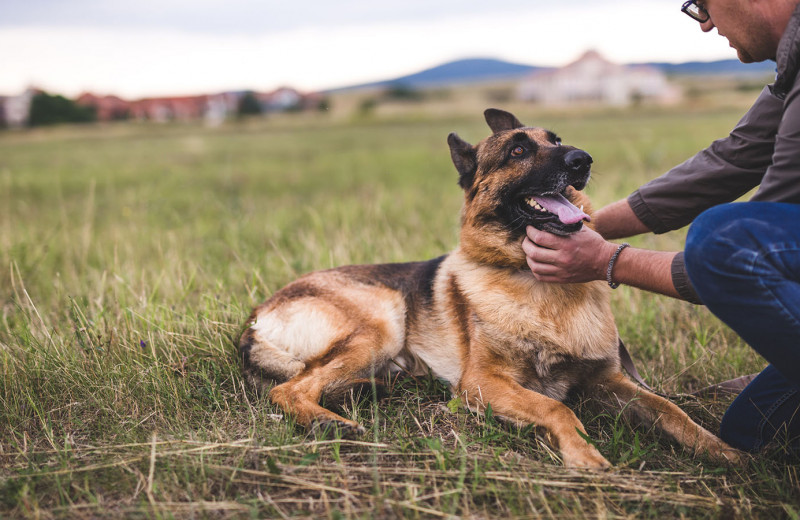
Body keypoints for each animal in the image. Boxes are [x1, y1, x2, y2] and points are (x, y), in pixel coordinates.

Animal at [241, 108, 740, 468]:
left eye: (556, 140)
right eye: (518, 151)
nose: (583, 159)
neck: (539, 285)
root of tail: (256, 318)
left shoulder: (610, 380)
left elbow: (673, 411)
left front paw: (725, 451)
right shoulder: (484, 382)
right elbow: (558, 409)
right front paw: (583, 454)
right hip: (380, 322)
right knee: (288, 390)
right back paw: (332, 425)